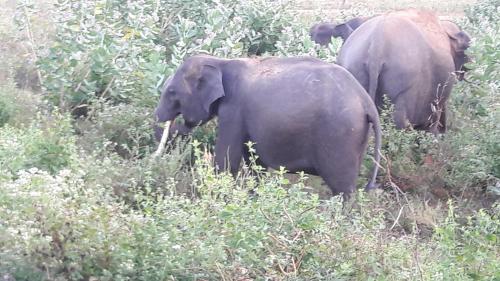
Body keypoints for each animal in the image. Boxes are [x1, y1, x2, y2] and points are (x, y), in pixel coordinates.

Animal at [154, 54, 380, 195]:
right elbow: (254, 162)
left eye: (172, 92)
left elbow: (227, 160)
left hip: (340, 134)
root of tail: (366, 100)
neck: (220, 62)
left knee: (343, 189)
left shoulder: (234, 109)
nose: (170, 124)